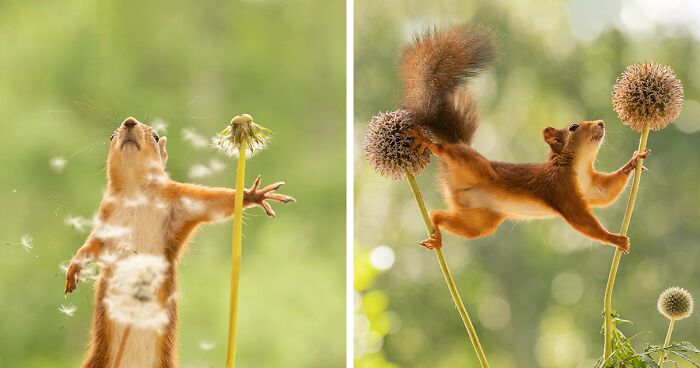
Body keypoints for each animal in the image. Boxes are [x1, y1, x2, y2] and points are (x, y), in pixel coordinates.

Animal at [64, 117, 294, 368]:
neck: (135, 192)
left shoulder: (180, 201)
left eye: (155, 136)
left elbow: (214, 202)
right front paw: (74, 267)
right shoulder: (106, 220)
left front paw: (254, 195)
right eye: (112, 137)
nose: (129, 121)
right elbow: (93, 245)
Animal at [402, 24, 648, 252]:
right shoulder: (561, 189)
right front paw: (615, 239)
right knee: (445, 151)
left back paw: (435, 232)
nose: (601, 123)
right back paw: (428, 143)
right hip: (475, 166)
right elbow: (582, 220)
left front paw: (634, 160)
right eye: (574, 127)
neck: (579, 166)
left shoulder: (590, 187)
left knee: (439, 215)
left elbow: (605, 192)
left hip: (479, 221)